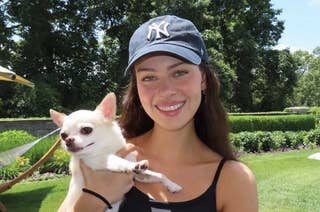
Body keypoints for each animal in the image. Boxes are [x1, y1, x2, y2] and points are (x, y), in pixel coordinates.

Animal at [49, 93, 181, 212]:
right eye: (63, 135)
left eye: (86, 130)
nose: (68, 140)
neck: (107, 149)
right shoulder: (98, 161)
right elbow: (118, 161)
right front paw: (134, 165)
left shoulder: (138, 177)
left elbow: (158, 174)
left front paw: (172, 185)